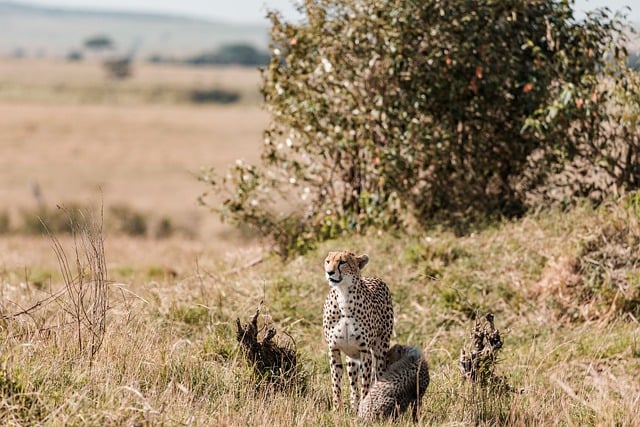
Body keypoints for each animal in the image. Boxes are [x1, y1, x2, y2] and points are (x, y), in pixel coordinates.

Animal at [322, 251, 392, 412]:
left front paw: (365, 407)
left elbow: (365, 383)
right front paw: (337, 409)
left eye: (342, 262)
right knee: (353, 384)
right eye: (328, 261)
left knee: (378, 374)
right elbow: (336, 381)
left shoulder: (364, 351)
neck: (343, 298)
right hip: (351, 358)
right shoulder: (334, 348)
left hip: (380, 350)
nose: (329, 272)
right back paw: (354, 405)